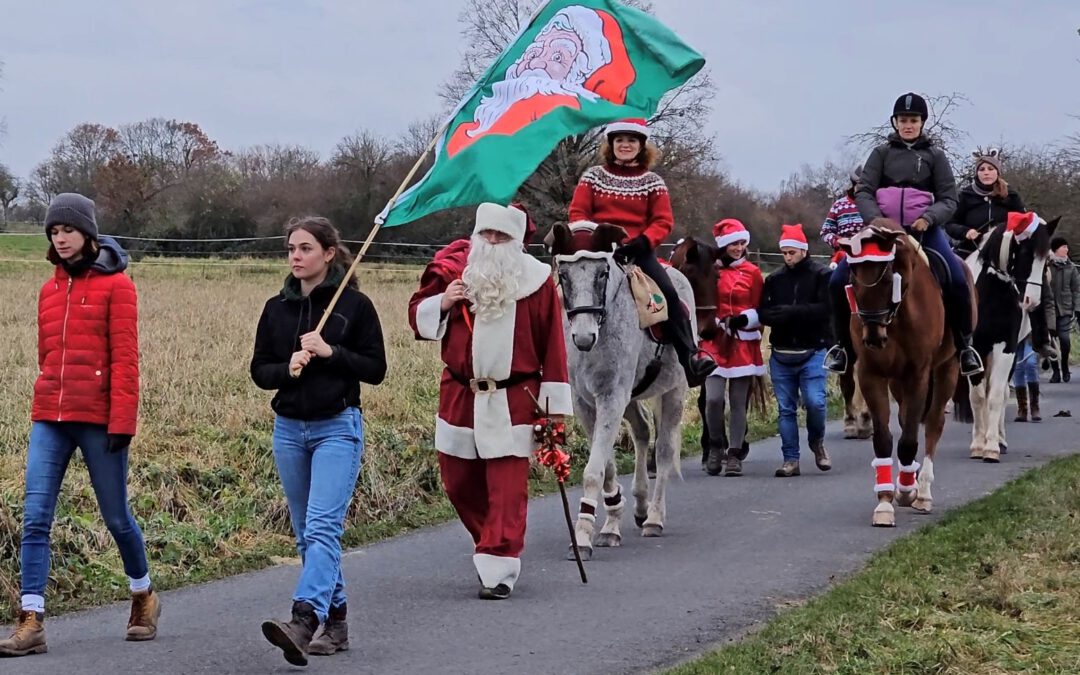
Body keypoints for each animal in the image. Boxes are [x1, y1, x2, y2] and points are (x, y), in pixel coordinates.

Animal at [548, 221, 691, 557]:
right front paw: (611, 522)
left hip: (674, 392)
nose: (583, 337)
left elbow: (594, 471)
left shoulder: (611, 397)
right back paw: (639, 507)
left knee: (664, 451)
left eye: (602, 273)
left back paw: (654, 518)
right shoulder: (586, 402)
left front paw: (583, 536)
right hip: (631, 397)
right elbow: (607, 467)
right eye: (564, 275)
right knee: (642, 430)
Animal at [833, 221, 972, 527]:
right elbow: (884, 438)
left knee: (932, 425)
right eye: (853, 282)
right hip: (897, 382)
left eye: (887, 280)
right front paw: (885, 502)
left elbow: (909, 439)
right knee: (906, 418)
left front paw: (908, 491)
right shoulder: (872, 374)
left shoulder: (918, 374)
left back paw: (923, 492)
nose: (873, 337)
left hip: (946, 369)